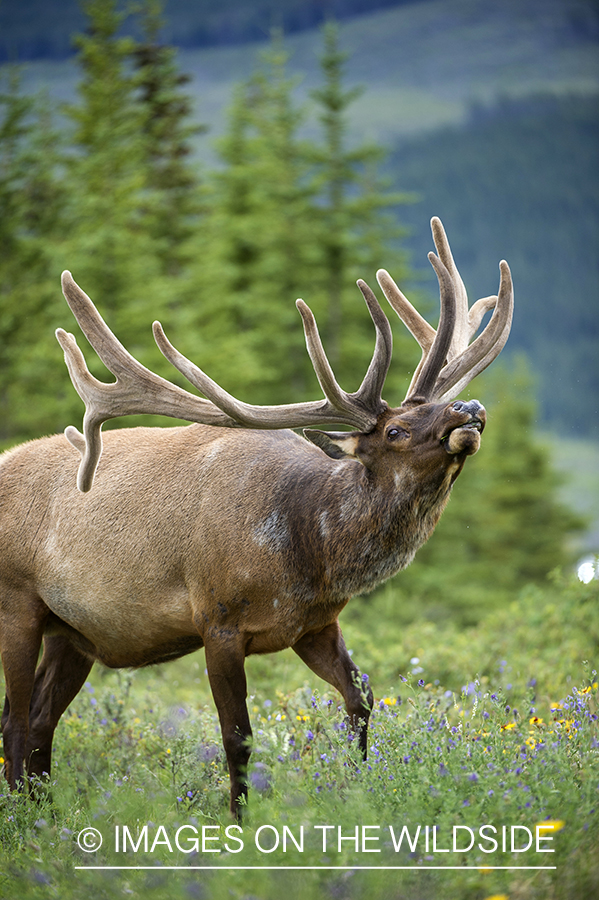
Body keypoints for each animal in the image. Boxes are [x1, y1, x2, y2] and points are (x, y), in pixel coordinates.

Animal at [1, 216, 516, 816]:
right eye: (395, 430)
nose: (469, 409)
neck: (307, 550)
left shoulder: (314, 624)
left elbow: (360, 698)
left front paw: (358, 786)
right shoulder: (217, 621)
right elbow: (237, 737)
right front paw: (240, 820)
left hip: (74, 631)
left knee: (41, 719)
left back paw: (44, 816)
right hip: (17, 603)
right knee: (15, 721)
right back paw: (22, 818)